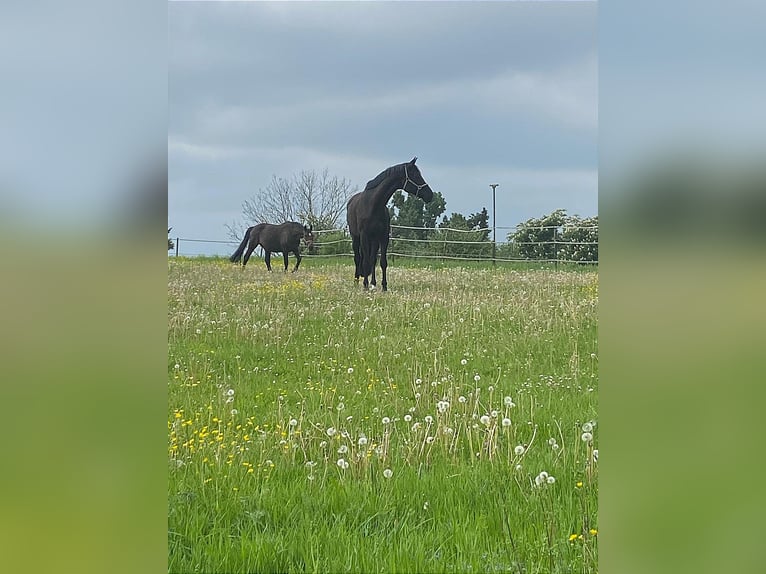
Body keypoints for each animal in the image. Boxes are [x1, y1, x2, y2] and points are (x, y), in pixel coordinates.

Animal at [346, 157, 434, 291]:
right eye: (415, 175)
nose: (430, 195)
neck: (374, 205)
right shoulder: (364, 236)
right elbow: (365, 262)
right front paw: (365, 285)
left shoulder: (383, 237)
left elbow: (382, 262)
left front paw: (384, 286)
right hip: (356, 238)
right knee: (358, 258)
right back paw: (357, 282)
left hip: (374, 240)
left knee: (372, 260)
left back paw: (373, 283)